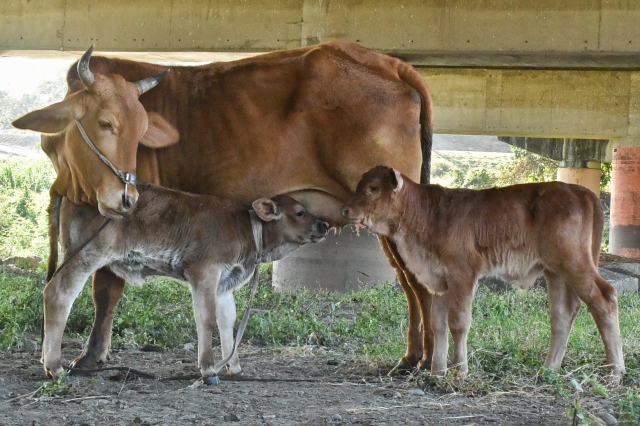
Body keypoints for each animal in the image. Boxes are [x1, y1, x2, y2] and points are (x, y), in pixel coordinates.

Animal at [43, 181, 330, 382]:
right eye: (300, 212)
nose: (324, 225)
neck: (246, 232)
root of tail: (70, 187)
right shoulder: (204, 272)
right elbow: (206, 319)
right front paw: (208, 370)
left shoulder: (224, 283)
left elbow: (227, 321)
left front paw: (234, 367)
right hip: (86, 254)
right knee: (58, 294)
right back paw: (55, 367)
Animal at [342, 166, 628, 380]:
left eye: (373, 187)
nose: (345, 209)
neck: (426, 215)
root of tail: (580, 191)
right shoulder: (440, 281)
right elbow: (438, 324)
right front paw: (437, 372)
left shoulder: (463, 273)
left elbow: (458, 322)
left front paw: (460, 370)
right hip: (555, 270)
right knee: (563, 313)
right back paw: (548, 369)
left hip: (573, 261)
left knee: (604, 298)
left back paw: (615, 371)